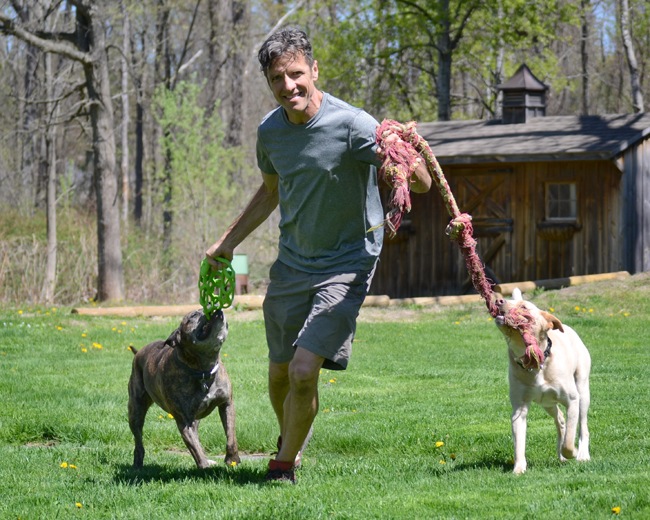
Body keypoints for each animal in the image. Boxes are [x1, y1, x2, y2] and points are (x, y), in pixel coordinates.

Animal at [128, 309, 240, 469]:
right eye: (193, 315)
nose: (214, 307)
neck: (203, 369)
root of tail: (138, 353)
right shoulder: (184, 421)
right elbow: (195, 448)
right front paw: (205, 467)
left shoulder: (227, 404)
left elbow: (231, 436)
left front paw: (232, 458)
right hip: (136, 410)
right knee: (138, 439)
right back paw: (137, 462)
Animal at [494, 289, 591, 474]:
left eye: (524, 307)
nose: (498, 301)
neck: (534, 363)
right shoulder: (519, 409)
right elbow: (519, 443)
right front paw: (519, 469)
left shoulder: (572, 400)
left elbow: (569, 440)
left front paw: (573, 452)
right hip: (547, 402)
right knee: (560, 419)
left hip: (582, 390)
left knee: (582, 426)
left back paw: (582, 454)